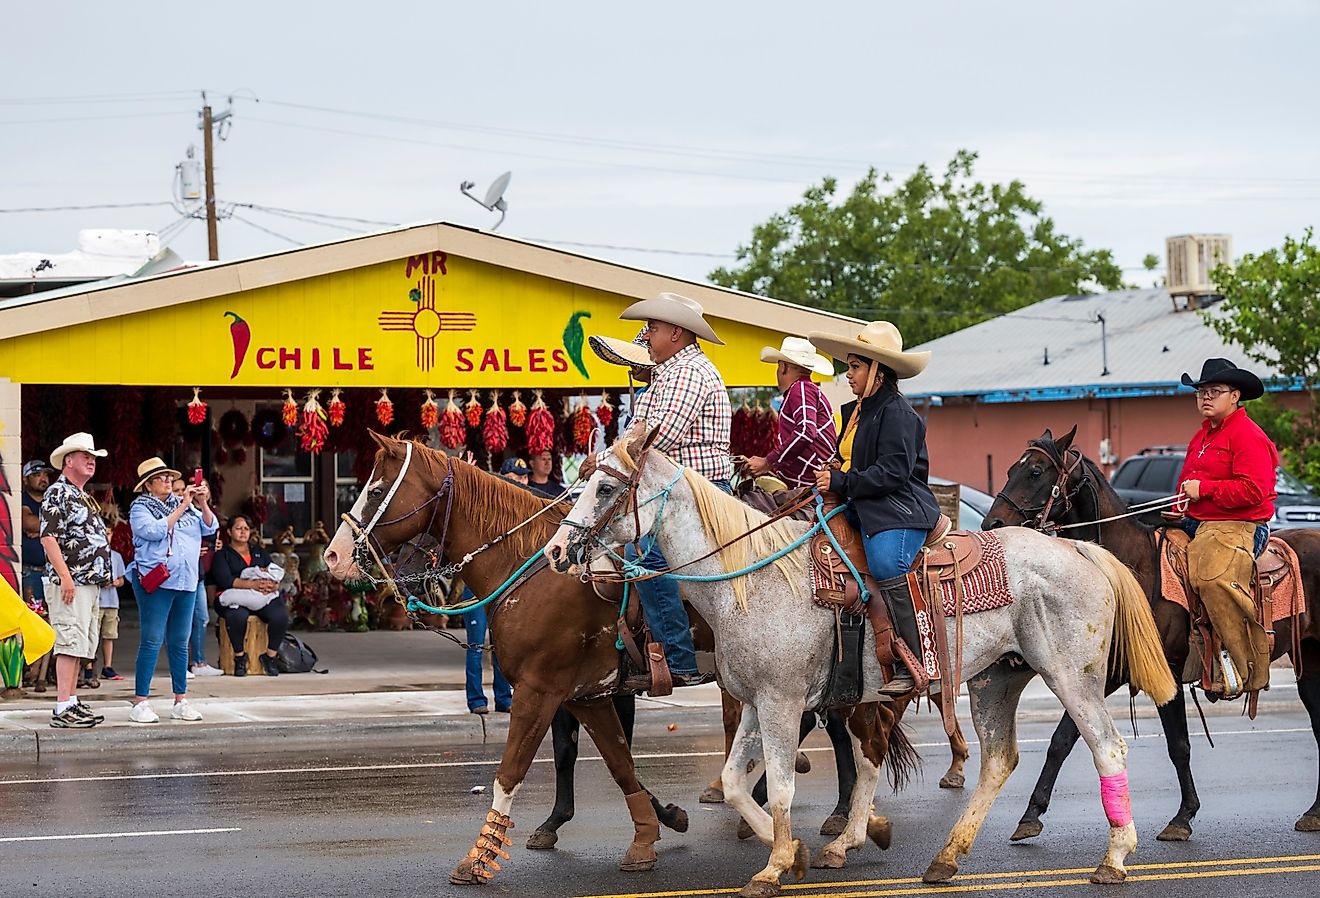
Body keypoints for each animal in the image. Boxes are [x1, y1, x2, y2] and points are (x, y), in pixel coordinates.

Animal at [992, 425, 1320, 834]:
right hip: (1310, 660)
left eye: (1036, 471)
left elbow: (1178, 745)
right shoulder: (1109, 673)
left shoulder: (1169, 670)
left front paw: (1183, 817)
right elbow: (1063, 738)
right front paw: (1031, 816)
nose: (992, 524)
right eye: (1009, 469)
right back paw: (1314, 812)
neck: (1134, 571)